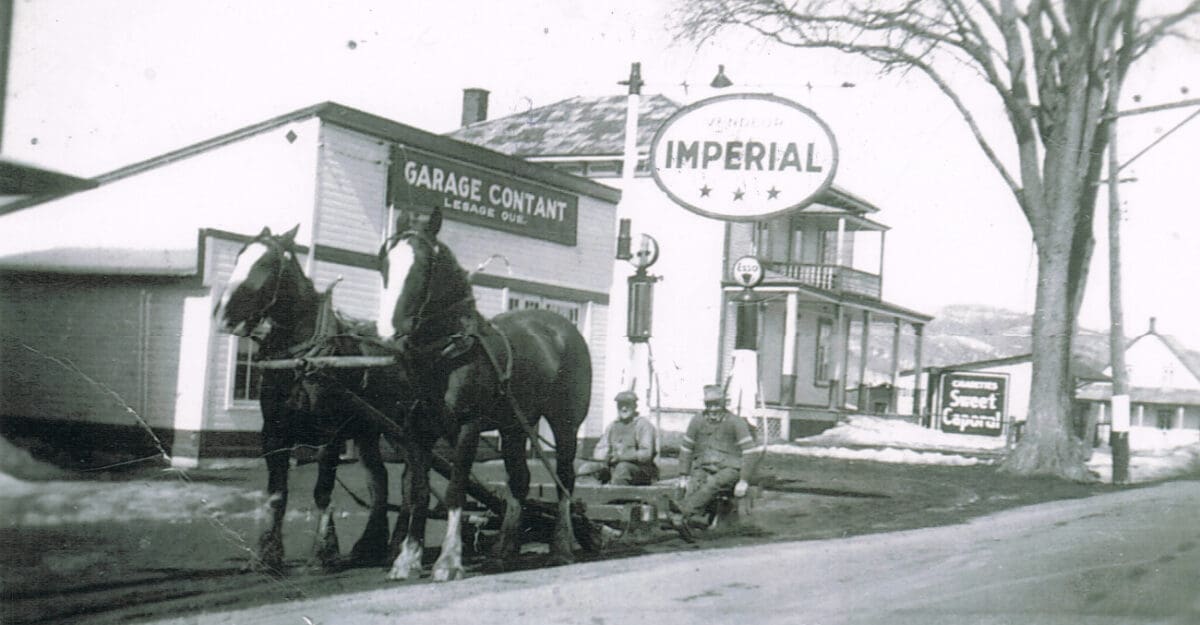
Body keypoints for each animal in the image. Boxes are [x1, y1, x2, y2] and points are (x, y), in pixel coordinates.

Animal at [213, 224, 405, 571]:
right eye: (238, 256)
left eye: (267, 264)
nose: (223, 315)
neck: (301, 360)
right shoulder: (273, 434)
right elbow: (277, 494)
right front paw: (267, 555)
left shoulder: (329, 436)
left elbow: (322, 492)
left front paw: (324, 551)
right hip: (368, 432)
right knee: (379, 479)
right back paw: (370, 545)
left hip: (405, 432)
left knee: (412, 481)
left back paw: (399, 545)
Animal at [374, 208, 590, 580]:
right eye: (384, 262)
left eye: (425, 264)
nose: (389, 334)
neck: (443, 353)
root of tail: (564, 327)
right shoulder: (416, 432)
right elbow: (417, 494)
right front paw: (407, 559)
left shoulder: (467, 426)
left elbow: (455, 489)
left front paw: (449, 561)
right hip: (515, 425)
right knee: (520, 479)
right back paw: (504, 550)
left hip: (565, 423)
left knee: (565, 477)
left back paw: (561, 546)